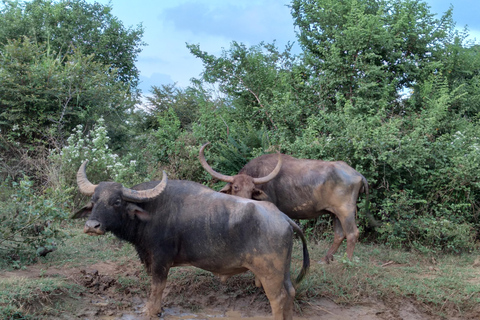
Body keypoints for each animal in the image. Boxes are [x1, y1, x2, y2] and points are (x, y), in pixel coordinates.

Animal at [73, 161, 310, 318]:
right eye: (94, 200)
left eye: (116, 202)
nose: (92, 226)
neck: (151, 211)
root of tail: (282, 217)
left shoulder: (161, 261)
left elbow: (157, 288)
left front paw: (151, 311)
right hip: (282, 271)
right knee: (290, 292)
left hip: (269, 273)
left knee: (278, 298)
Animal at [197, 142, 370, 262]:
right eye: (236, 187)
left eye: (252, 189)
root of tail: (357, 174)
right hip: (335, 213)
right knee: (339, 234)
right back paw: (325, 259)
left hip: (346, 211)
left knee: (352, 233)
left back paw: (347, 261)